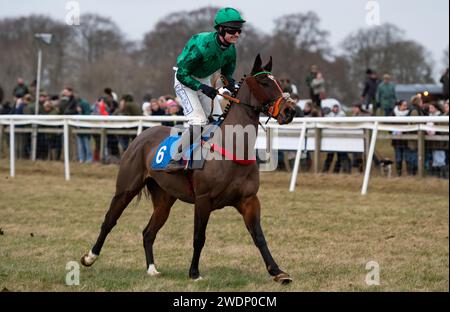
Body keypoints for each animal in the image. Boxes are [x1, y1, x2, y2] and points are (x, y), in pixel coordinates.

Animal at [81, 54, 296, 284]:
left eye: (279, 83)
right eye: (264, 82)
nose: (290, 111)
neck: (232, 148)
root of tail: (142, 135)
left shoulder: (249, 200)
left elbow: (259, 237)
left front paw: (278, 271)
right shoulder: (203, 200)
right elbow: (199, 237)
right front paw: (194, 272)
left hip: (164, 199)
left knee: (148, 232)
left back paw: (152, 269)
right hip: (126, 189)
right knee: (109, 221)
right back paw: (90, 257)